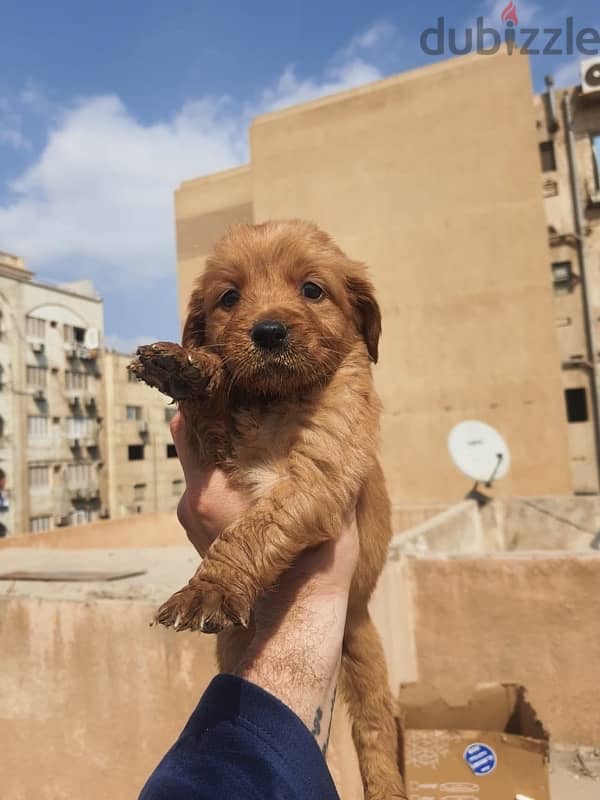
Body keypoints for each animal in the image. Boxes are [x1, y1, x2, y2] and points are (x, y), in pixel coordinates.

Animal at [129, 220, 406, 800]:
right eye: (229, 298)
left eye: (312, 289)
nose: (269, 332)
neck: (275, 402)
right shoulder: (215, 450)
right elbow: (209, 408)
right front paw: (188, 367)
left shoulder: (318, 475)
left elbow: (253, 529)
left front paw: (211, 588)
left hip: (365, 653)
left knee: (374, 731)